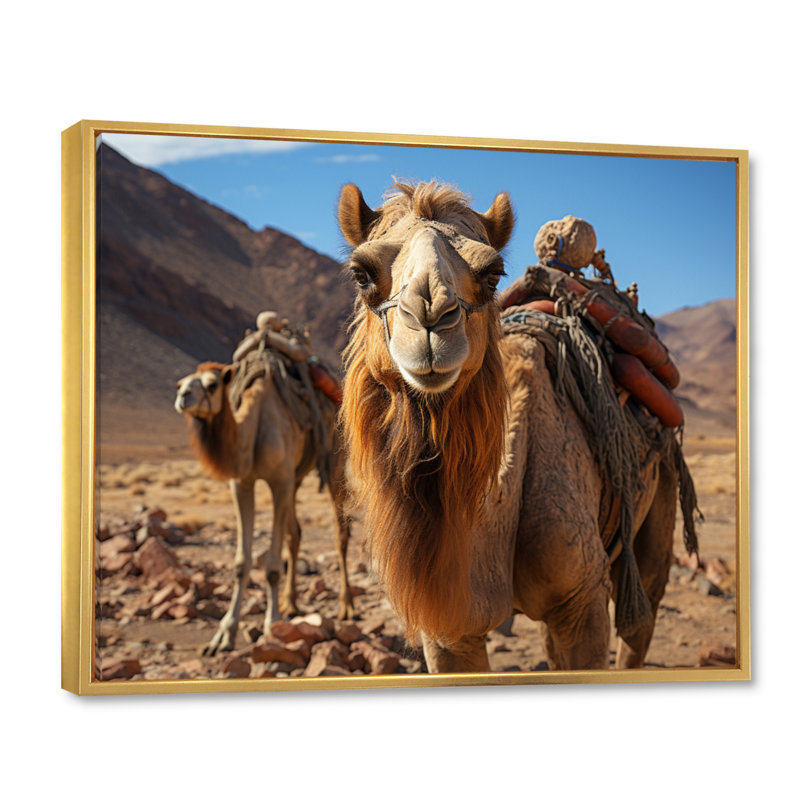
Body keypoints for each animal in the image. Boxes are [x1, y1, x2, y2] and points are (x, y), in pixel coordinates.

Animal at [174, 359, 353, 655]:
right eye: (182, 383)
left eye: (212, 385)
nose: (182, 396)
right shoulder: (241, 484)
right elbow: (241, 562)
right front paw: (223, 635)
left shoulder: (279, 481)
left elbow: (271, 564)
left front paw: (272, 626)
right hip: (296, 477)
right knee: (295, 534)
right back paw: (290, 604)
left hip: (335, 462)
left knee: (341, 535)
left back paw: (346, 606)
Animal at [337, 179, 694, 673]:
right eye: (362, 274)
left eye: (493, 274)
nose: (429, 318)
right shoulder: (449, 629)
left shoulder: (583, 602)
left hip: (659, 492)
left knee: (641, 616)